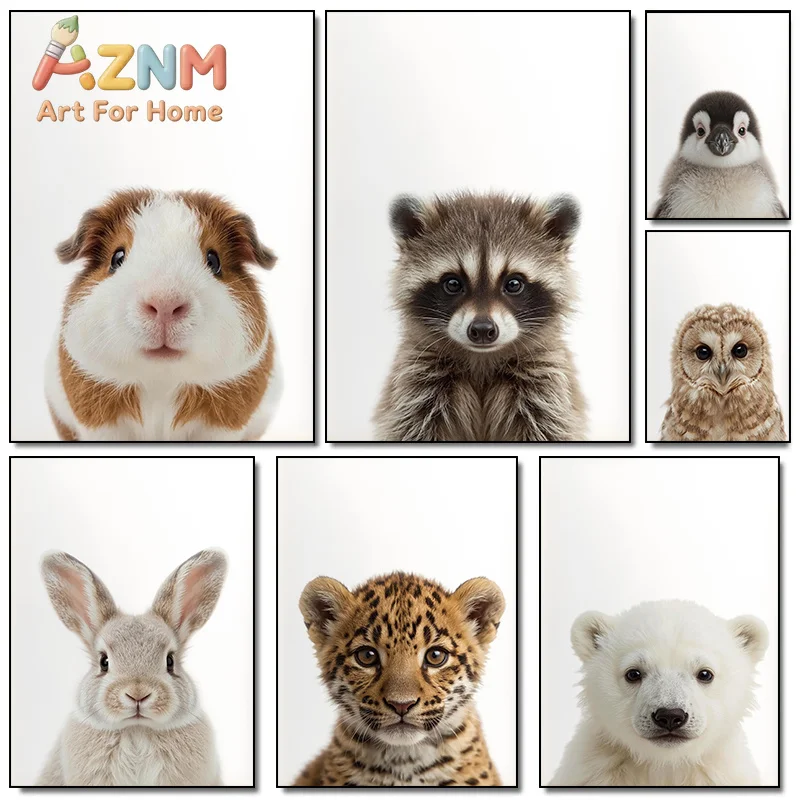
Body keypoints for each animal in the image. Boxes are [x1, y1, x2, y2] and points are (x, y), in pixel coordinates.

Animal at [373, 191, 588, 441]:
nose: (483, 330)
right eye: (452, 284)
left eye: (513, 284)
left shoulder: (545, 384)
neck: (481, 362)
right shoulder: (416, 381)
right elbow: (410, 427)